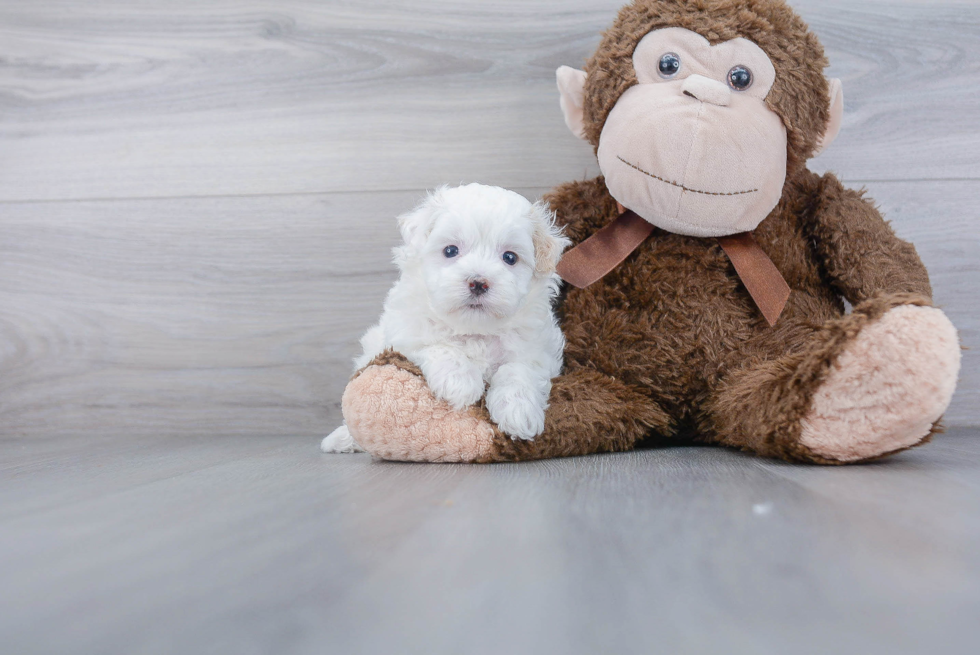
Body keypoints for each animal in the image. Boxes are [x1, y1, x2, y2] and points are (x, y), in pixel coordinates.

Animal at [324, 182, 568, 454]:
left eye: (510, 257)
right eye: (450, 250)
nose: (478, 282)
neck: (474, 330)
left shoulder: (538, 351)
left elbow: (517, 370)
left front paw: (519, 412)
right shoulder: (403, 335)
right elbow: (437, 345)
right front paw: (460, 382)